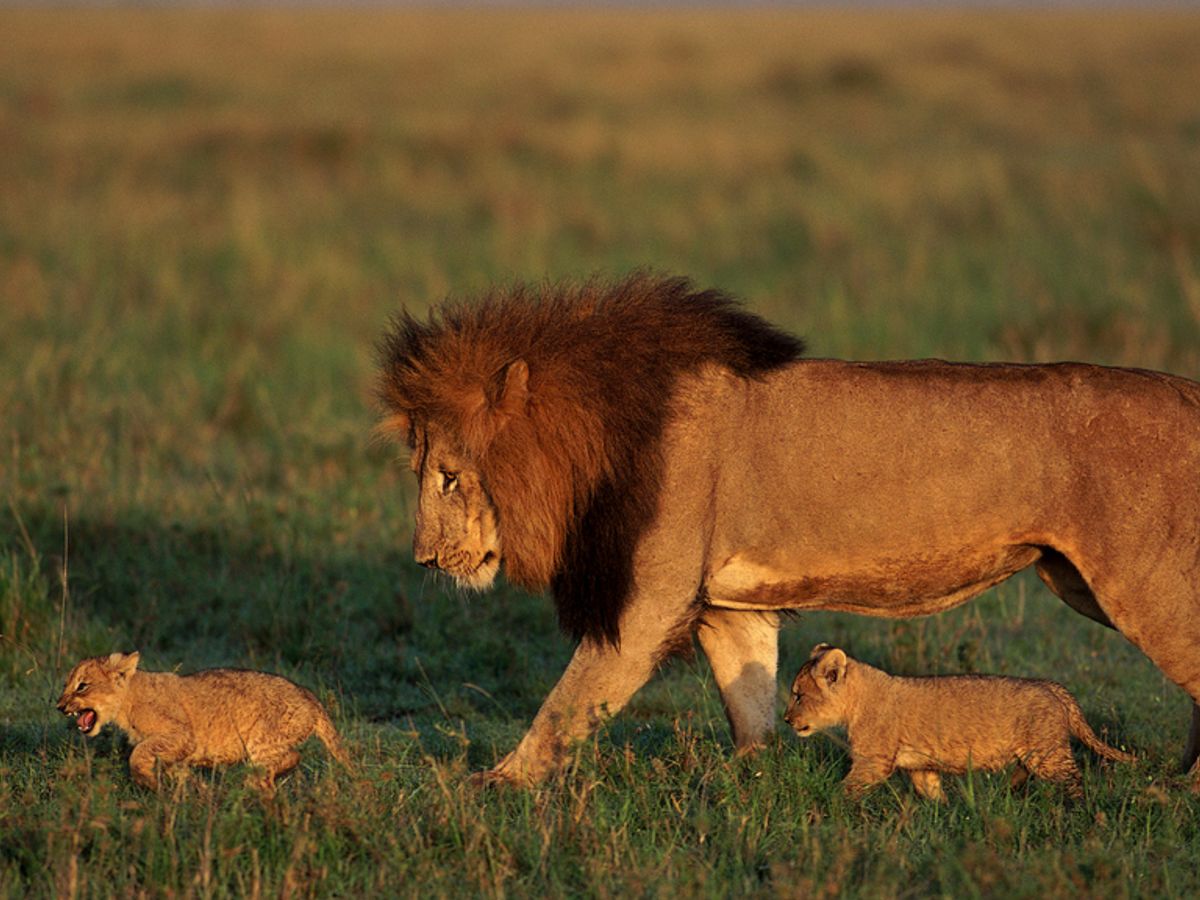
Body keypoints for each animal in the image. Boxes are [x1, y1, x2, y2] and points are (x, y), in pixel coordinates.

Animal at [379, 274, 1200, 787]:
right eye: (422, 470)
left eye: (448, 476)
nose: (423, 559)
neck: (597, 435)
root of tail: (1188, 393)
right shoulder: (724, 605)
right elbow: (750, 701)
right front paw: (748, 778)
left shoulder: (648, 603)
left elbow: (566, 704)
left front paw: (498, 784)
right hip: (1078, 579)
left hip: (1142, 582)